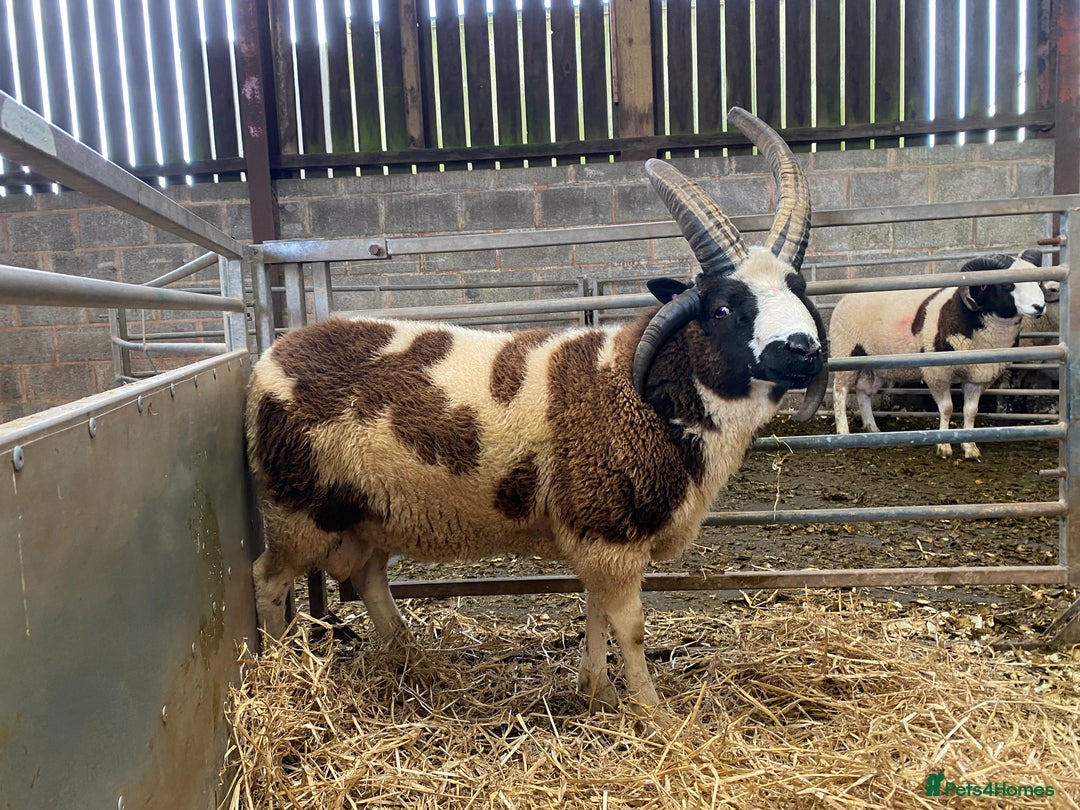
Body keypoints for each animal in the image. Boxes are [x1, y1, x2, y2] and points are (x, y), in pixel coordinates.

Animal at [245, 107, 827, 717]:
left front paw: (595, 691)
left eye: (799, 289)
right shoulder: (607, 527)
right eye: (722, 308)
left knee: (368, 578)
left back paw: (413, 661)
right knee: (269, 579)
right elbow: (630, 627)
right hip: (296, 505)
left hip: (368, 512)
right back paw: (282, 671)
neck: (646, 394)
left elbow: (597, 614)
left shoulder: (598, 534)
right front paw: (652, 713)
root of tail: (273, 355)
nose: (804, 350)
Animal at [830, 251, 1046, 460]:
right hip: (845, 354)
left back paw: (871, 428)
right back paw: (843, 434)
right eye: (1007, 285)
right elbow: (947, 408)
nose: (1039, 307)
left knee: (862, 391)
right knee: (840, 391)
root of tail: (843, 300)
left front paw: (970, 447)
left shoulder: (976, 377)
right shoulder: (937, 373)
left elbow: (970, 412)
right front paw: (943, 447)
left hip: (874, 366)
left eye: (1037, 282)